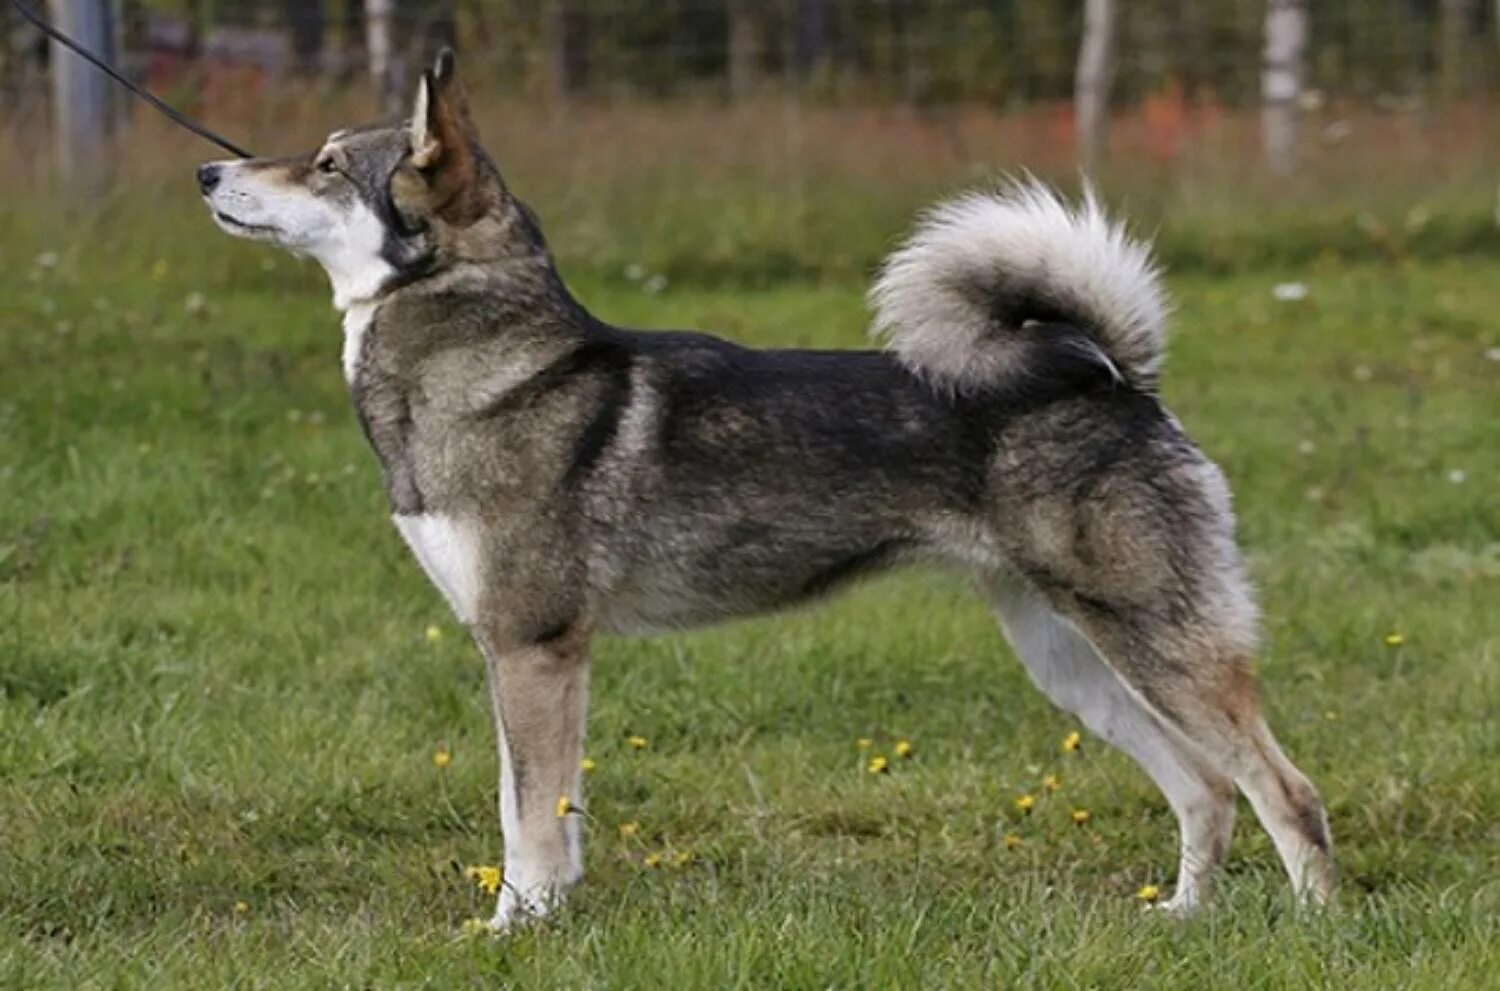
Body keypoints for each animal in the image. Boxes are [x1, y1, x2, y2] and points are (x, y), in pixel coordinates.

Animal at [199, 48, 1338, 929]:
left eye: (329, 165)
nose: (208, 167)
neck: (491, 356)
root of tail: (1117, 379)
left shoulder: (532, 646)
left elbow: (525, 819)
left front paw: (513, 928)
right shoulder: (531, 658)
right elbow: (549, 812)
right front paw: (550, 918)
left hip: (1155, 645)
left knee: (1285, 789)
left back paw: (1316, 926)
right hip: (1077, 659)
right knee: (1205, 788)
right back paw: (1182, 915)